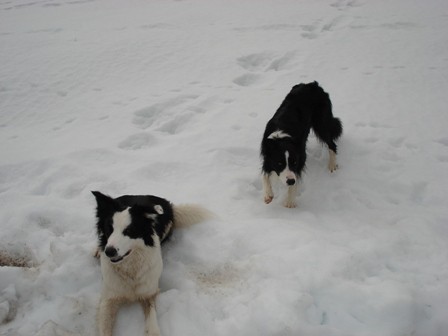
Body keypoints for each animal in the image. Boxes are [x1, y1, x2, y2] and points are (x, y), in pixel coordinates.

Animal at [91, 192, 212, 336]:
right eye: (109, 229)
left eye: (129, 231)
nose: (109, 251)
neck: (130, 269)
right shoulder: (108, 298)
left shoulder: (148, 293)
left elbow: (152, 323)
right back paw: (97, 250)